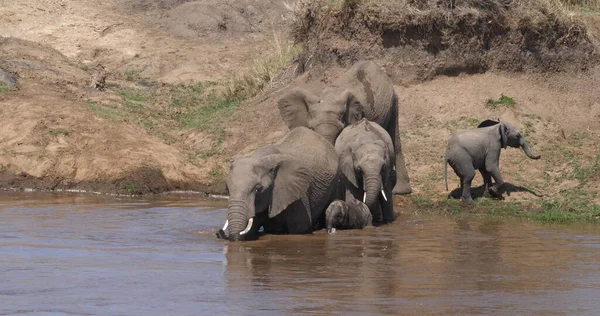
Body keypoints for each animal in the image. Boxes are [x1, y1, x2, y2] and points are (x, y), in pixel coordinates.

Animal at [278, 58, 412, 194]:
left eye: (339, 132)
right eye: (312, 129)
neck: (330, 97)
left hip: (393, 100)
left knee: (395, 138)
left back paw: (400, 190)